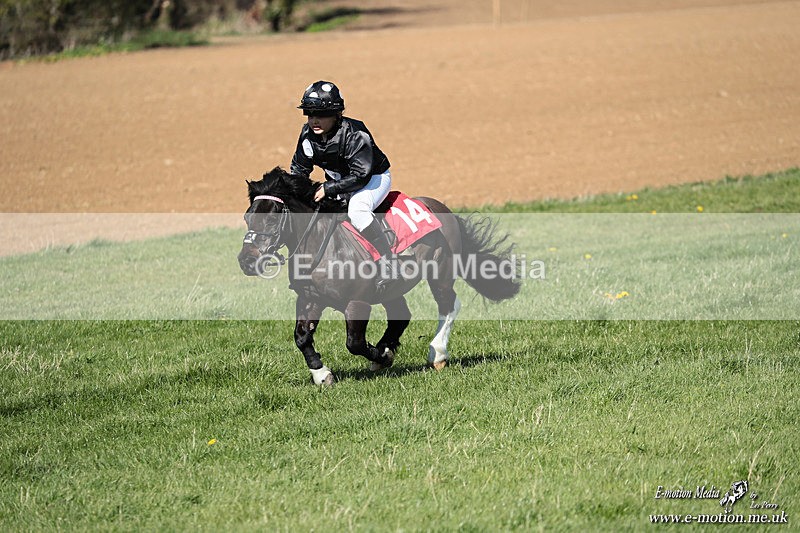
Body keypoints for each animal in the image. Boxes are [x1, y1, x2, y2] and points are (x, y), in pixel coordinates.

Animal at [237, 167, 520, 385]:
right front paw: (322, 374)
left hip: (441, 270)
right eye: (247, 217)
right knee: (401, 315)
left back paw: (436, 354)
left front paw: (383, 357)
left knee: (448, 304)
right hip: (392, 289)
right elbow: (302, 338)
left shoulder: (357, 302)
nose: (246, 261)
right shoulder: (310, 298)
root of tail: (442, 207)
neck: (322, 245)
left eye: (272, 219)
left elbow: (354, 343)